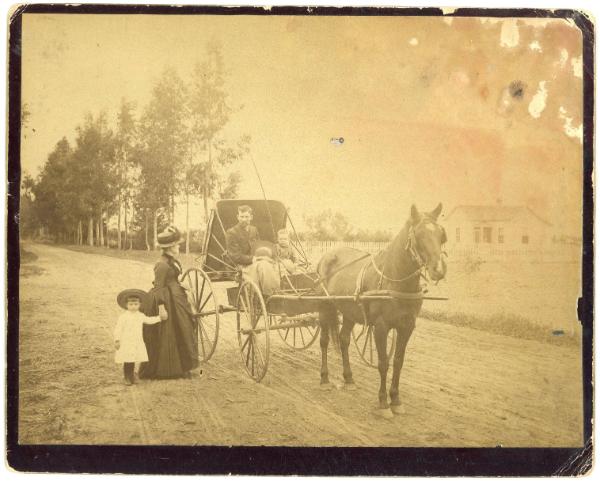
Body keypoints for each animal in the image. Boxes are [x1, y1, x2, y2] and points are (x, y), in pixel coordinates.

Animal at [316, 202, 448, 416]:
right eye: (418, 235)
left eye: (441, 235)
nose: (439, 269)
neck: (395, 282)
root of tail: (327, 255)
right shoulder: (381, 327)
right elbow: (383, 362)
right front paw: (383, 403)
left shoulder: (407, 326)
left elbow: (398, 362)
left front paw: (396, 400)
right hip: (324, 307)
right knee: (324, 341)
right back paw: (325, 378)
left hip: (349, 312)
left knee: (344, 340)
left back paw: (349, 378)